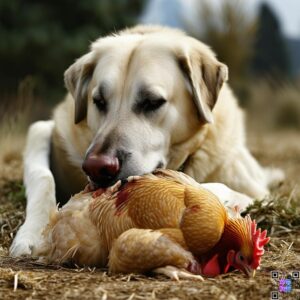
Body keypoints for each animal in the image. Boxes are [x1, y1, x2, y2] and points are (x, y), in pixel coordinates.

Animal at [9, 24, 284, 256]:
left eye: (152, 102)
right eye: (98, 101)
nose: (97, 167)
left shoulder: (258, 193)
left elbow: (212, 188)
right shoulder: (41, 129)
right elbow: (42, 177)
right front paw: (31, 233)